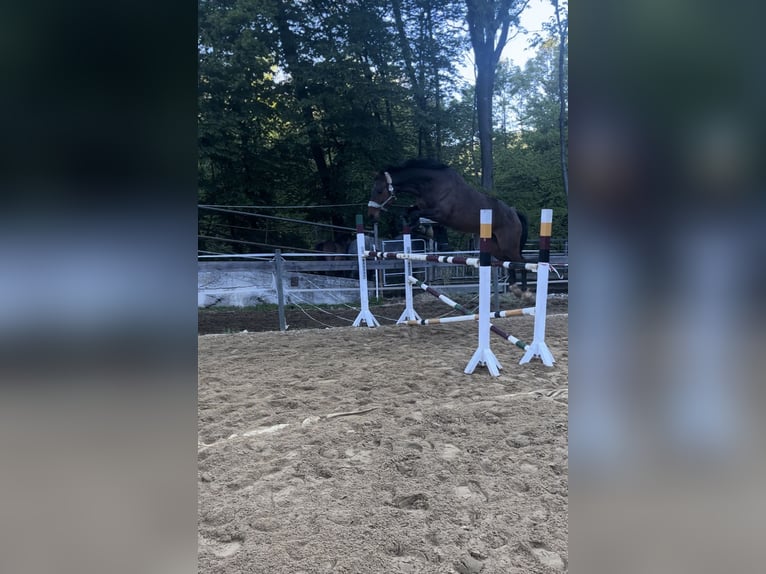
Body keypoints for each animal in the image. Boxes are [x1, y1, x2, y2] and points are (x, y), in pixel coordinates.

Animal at [368, 160, 532, 286]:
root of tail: (514, 213)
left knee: (522, 263)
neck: (430, 184)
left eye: (379, 191)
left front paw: (418, 228)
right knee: (510, 263)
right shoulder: (422, 207)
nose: (371, 215)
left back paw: (525, 292)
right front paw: (413, 227)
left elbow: (415, 214)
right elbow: (408, 212)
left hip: (508, 245)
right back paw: (514, 289)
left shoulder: (440, 213)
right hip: (496, 247)